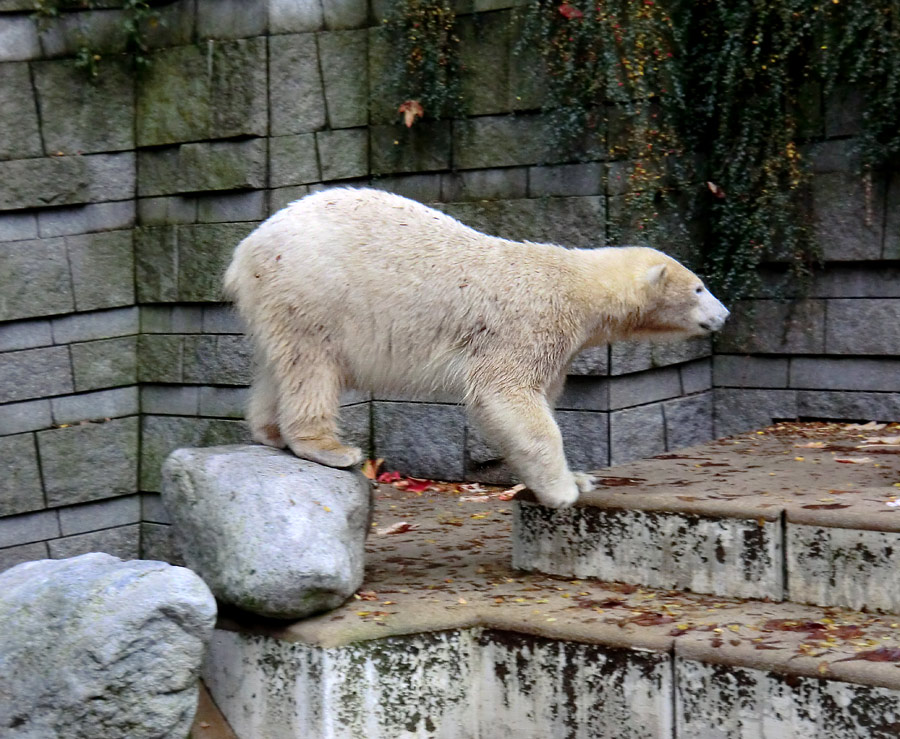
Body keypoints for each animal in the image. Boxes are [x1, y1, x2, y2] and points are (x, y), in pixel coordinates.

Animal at [225, 188, 732, 508]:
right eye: (700, 288)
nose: (725, 315)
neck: (573, 284)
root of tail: (244, 251)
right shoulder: (526, 326)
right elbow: (508, 398)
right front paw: (564, 490)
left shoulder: (558, 345)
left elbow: (536, 400)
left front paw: (578, 477)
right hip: (313, 290)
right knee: (311, 366)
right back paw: (330, 448)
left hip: (277, 302)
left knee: (278, 365)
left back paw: (270, 432)